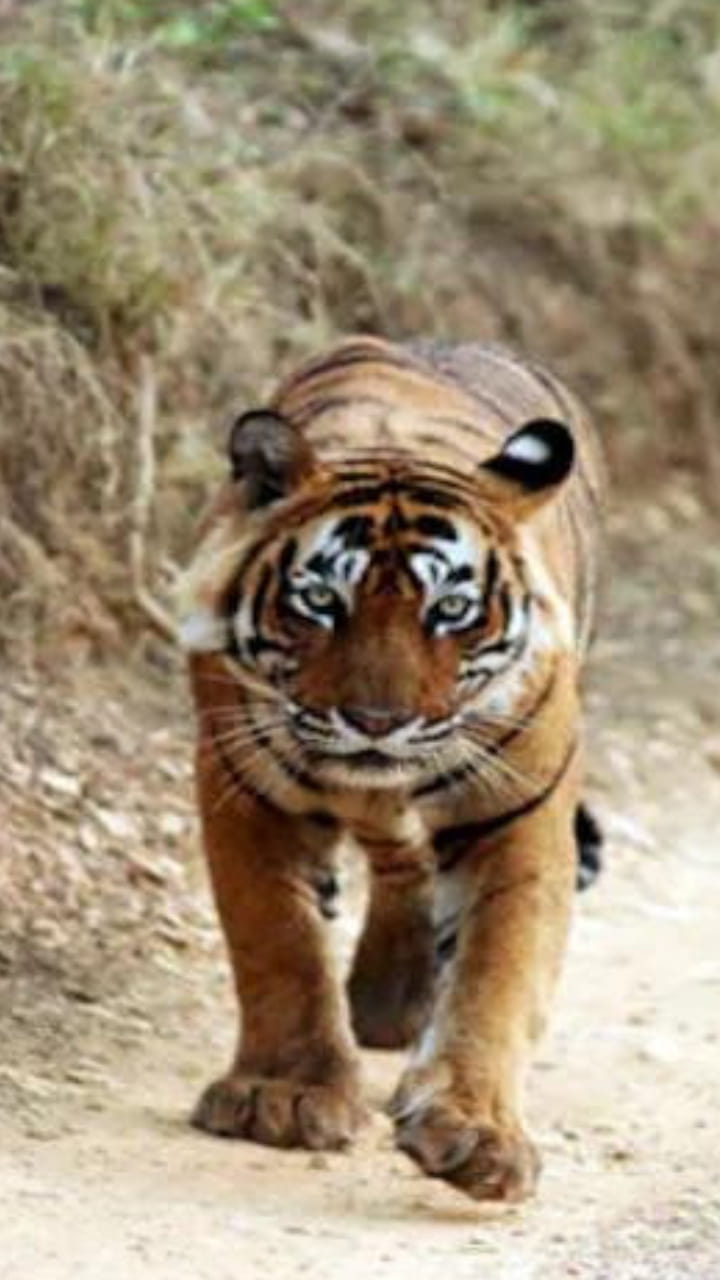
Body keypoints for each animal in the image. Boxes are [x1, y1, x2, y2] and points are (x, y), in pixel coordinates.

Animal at [177, 335, 604, 1202]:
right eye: (318, 601)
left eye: (451, 611)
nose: (379, 724)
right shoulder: (242, 784)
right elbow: (276, 940)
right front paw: (283, 1096)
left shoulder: (519, 814)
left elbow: (498, 972)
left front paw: (477, 1130)